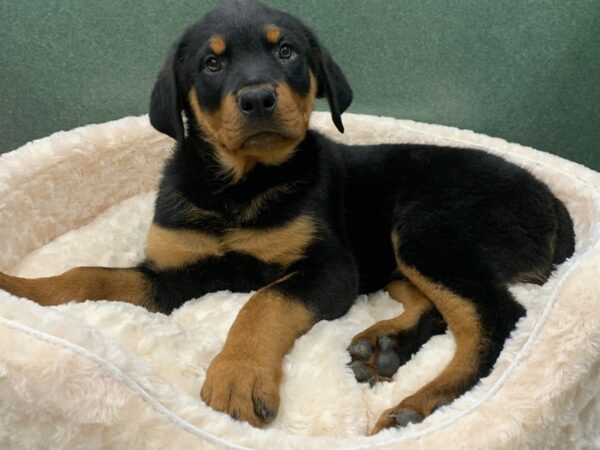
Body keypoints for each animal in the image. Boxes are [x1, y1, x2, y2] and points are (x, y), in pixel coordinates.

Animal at [1, 0, 576, 436]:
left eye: (287, 51)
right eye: (211, 64)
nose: (257, 97)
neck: (239, 187)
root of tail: (553, 203)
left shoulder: (329, 267)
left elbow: (263, 302)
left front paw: (237, 377)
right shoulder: (175, 272)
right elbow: (91, 276)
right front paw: (20, 289)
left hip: (427, 229)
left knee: (494, 317)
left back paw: (419, 403)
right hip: (399, 256)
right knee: (437, 307)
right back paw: (382, 347)